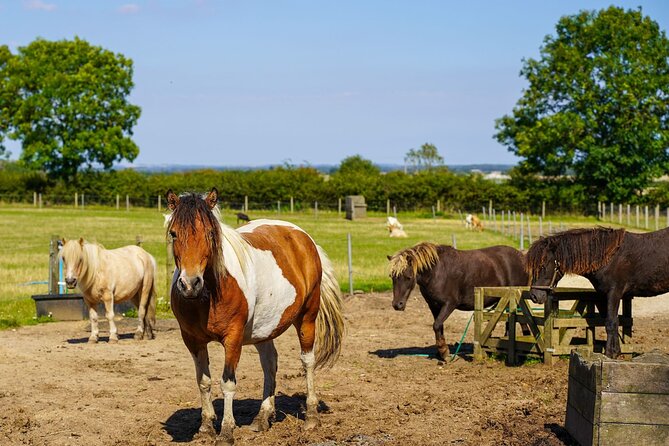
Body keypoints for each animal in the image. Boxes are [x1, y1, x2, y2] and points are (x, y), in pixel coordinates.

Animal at [165, 189, 344, 446]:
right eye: (173, 233)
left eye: (210, 232)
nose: (189, 284)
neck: (208, 294)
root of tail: (304, 238)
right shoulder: (192, 339)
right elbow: (204, 381)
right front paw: (206, 426)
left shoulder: (233, 338)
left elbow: (227, 383)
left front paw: (226, 431)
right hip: (264, 329)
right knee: (270, 363)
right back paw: (262, 418)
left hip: (307, 317)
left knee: (307, 361)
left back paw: (311, 417)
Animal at [386, 242, 528, 360]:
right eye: (392, 277)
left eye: (408, 277)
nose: (397, 305)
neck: (437, 272)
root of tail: (521, 256)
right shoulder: (433, 306)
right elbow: (439, 326)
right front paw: (441, 351)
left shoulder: (449, 304)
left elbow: (436, 325)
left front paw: (444, 351)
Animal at [528, 226, 668, 358]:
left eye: (543, 265)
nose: (534, 295)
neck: (609, 258)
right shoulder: (603, 295)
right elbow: (612, 321)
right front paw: (616, 351)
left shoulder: (614, 293)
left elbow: (610, 322)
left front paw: (610, 354)